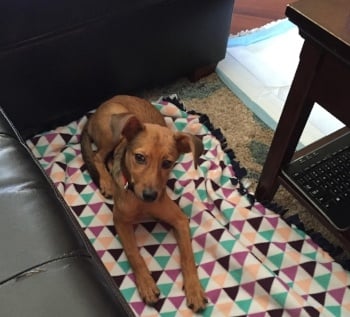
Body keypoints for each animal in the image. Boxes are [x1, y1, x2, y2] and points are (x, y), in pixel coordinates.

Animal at [81, 94, 208, 312]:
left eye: (167, 163)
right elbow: (134, 254)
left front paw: (194, 289)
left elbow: (188, 256)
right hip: (112, 133)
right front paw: (146, 284)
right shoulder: (120, 221)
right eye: (139, 157)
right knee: (98, 156)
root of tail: (100, 108)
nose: (150, 195)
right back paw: (106, 181)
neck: (141, 204)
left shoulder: (180, 220)